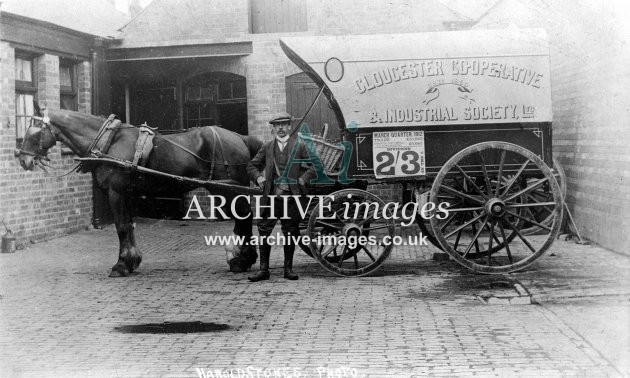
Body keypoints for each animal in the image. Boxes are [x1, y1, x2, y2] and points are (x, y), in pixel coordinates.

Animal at [17, 105, 262, 278]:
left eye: (35, 130)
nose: (22, 160)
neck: (109, 143)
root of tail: (239, 137)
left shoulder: (115, 192)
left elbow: (122, 227)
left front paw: (121, 265)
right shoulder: (125, 194)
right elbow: (129, 226)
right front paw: (132, 261)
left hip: (227, 188)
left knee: (244, 217)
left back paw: (241, 260)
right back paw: (243, 259)